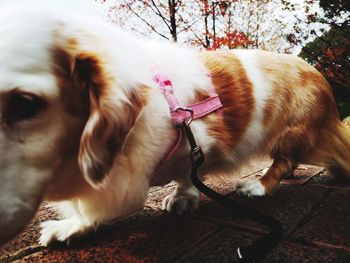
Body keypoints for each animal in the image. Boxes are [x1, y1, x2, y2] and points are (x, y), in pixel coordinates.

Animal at [0, 7, 350, 248]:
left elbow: (186, 174)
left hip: (292, 132)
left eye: (26, 103)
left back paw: (258, 186)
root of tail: (322, 81)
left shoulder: (197, 144)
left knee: (285, 161)